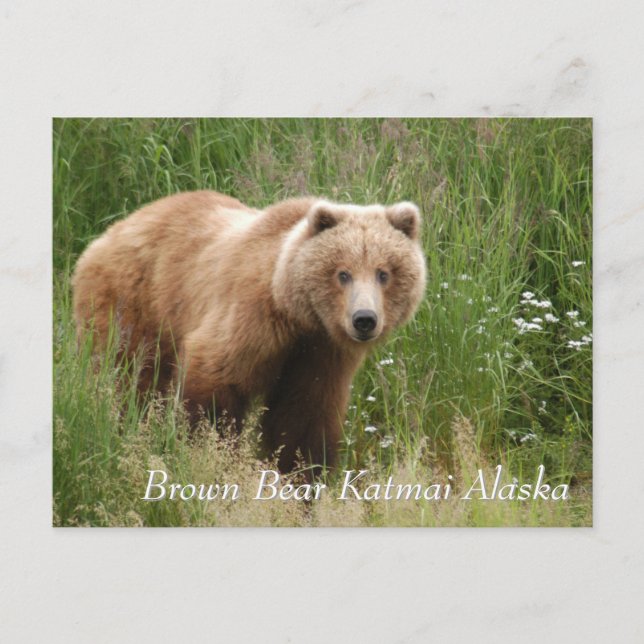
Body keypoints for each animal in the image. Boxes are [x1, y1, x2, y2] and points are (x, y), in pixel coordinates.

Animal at [72, 190, 426, 473]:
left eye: (383, 273)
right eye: (343, 273)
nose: (364, 319)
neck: (297, 313)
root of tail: (110, 231)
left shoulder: (321, 353)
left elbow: (303, 419)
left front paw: (300, 478)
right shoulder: (251, 318)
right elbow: (212, 384)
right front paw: (210, 453)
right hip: (135, 303)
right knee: (127, 378)